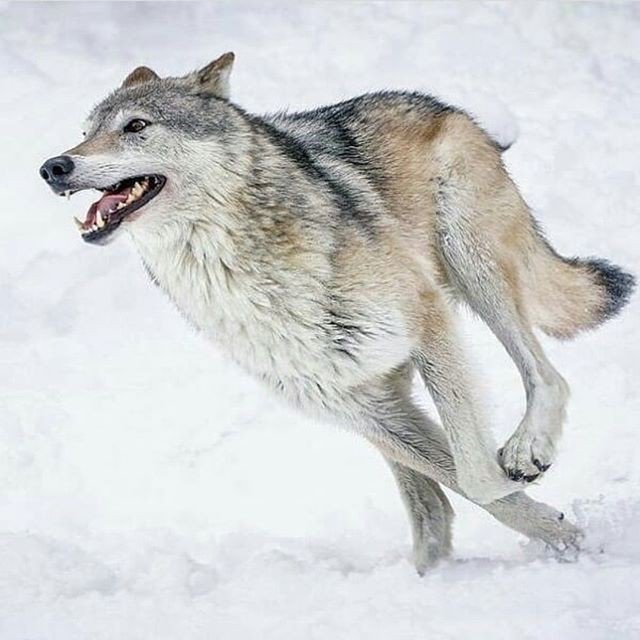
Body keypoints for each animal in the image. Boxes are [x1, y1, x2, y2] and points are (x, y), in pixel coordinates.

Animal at [40, 53, 634, 572]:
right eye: (85, 131)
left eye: (136, 126)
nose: (53, 166)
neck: (239, 273)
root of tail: (442, 107)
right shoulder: (356, 405)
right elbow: (464, 483)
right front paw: (563, 536)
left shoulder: (428, 322)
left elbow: (479, 476)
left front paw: (561, 526)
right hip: (384, 387)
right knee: (431, 506)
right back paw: (432, 569)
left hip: (472, 266)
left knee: (547, 376)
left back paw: (527, 449)